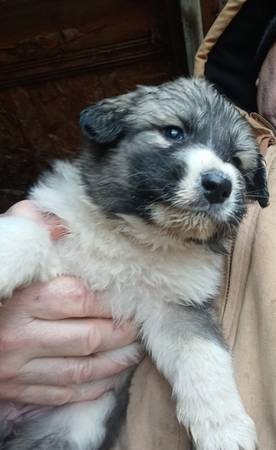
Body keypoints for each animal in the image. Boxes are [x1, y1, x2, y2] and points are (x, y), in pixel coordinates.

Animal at [0, 78, 268, 450]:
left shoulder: (178, 308)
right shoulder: (59, 233)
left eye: (236, 162)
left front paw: (223, 425)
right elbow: (30, 234)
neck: (138, 238)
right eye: (173, 132)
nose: (219, 185)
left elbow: (204, 357)